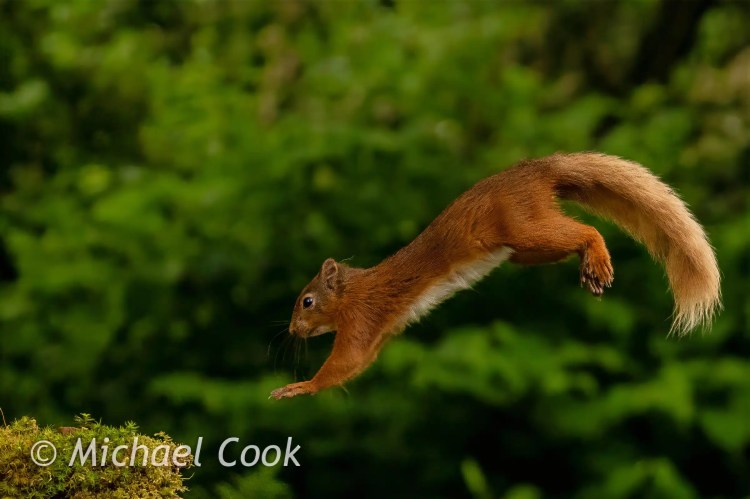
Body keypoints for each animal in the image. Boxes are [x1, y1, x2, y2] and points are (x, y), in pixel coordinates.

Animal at [270, 152, 721, 400]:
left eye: (307, 301)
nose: (292, 330)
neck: (354, 290)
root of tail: (535, 171)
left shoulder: (362, 317)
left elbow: (344, 362)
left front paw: (298, 387)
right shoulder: (380, 332)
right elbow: (359, 364)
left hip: (524, 226)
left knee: (585, 231)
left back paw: (597, 259)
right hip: (525, 250)